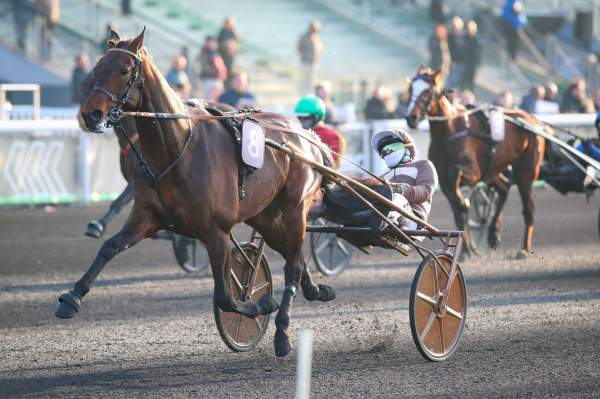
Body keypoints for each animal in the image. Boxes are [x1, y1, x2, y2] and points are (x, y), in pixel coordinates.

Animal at [55, 29, 336, 358]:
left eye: (124, 70)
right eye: (96, 69)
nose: (91, 115)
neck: (177, 149)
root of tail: (306, 135)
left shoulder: (216, 232)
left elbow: (225, 296)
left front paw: (261, 302)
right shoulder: (146, 217)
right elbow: (109, 247)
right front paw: (71, 297)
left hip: (294, 207)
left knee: (291, 264)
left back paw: (282, 334)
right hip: (263, 215)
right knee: (293, 255)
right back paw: (316, 289)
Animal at [406, 67, 548, 258]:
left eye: (428, 91)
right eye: (410, 88)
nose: (411, 118)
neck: (448, 131)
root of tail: (532, 120)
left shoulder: (472, 173)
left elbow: (460, 197)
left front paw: (467, 249)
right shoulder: (443, 179)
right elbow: (458, 209)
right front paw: (467, 249)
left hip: (525, 170)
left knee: (528, 208)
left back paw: (524, 249)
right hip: (492, 169)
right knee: (503, 188)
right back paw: (493, 234)